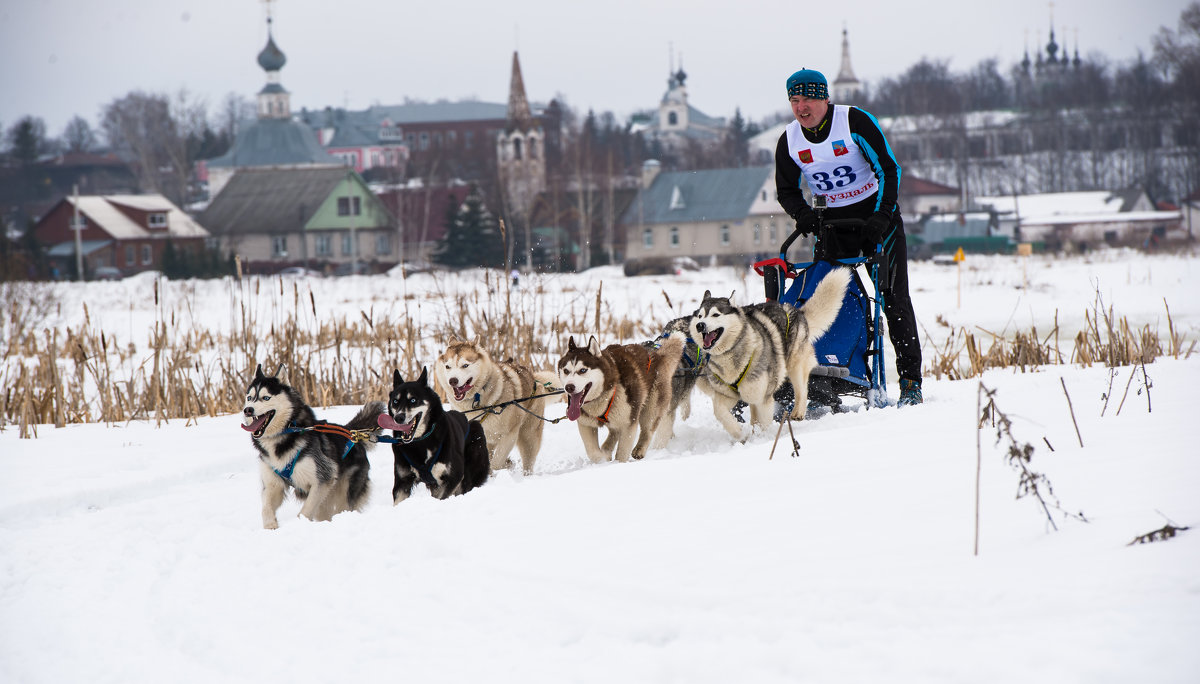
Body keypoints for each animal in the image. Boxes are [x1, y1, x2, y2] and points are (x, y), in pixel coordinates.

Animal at [241, 362, 376, 528]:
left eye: (266, 398)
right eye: (249, 398)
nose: (248, 410)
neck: (285, 432)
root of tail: (351, 432)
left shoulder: (323, 479)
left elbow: (305, 511)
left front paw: (300, 524)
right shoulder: (273, 484)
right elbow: (266, 508)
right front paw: (271, 526)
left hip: (344, 492)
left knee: (342, 507)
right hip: (326, 499)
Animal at [374, 367, 487, 501]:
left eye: (413, 400)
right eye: (395, 401)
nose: (398, 418)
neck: (421, 441)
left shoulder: (452, 478)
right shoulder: (403, 482)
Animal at [434, 336, 554, 472]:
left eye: (465, 365)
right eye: (448, 366)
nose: (452, 381)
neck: (477, 400)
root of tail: (534, 379)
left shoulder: (509, 435)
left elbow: (497, 463)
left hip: (529, 436)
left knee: (528, 459)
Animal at [554, 331, 686, 460]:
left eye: (582, 370)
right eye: (566, 371)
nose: (569, 387)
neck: (604, 395)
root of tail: (657, 355)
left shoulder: (629, 423)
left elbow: (622, 453)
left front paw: (617, 463)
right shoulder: (585, 424)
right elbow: (593, 452)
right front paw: (603, 458)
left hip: (651, 408)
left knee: (647, 430)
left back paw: (639, 449)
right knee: (614, 432)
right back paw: (607, 448)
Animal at [691, 267, 849, 436]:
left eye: (715, 314)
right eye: (700, 316)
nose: (700, 325)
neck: (732, 353)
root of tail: (796, 311)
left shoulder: (764, 396)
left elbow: (764, 421)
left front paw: (761, 437)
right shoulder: (728, 394)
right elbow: (720, 412)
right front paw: (739, 434)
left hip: (794, 366)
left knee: (802, 388)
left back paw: (798, 411)